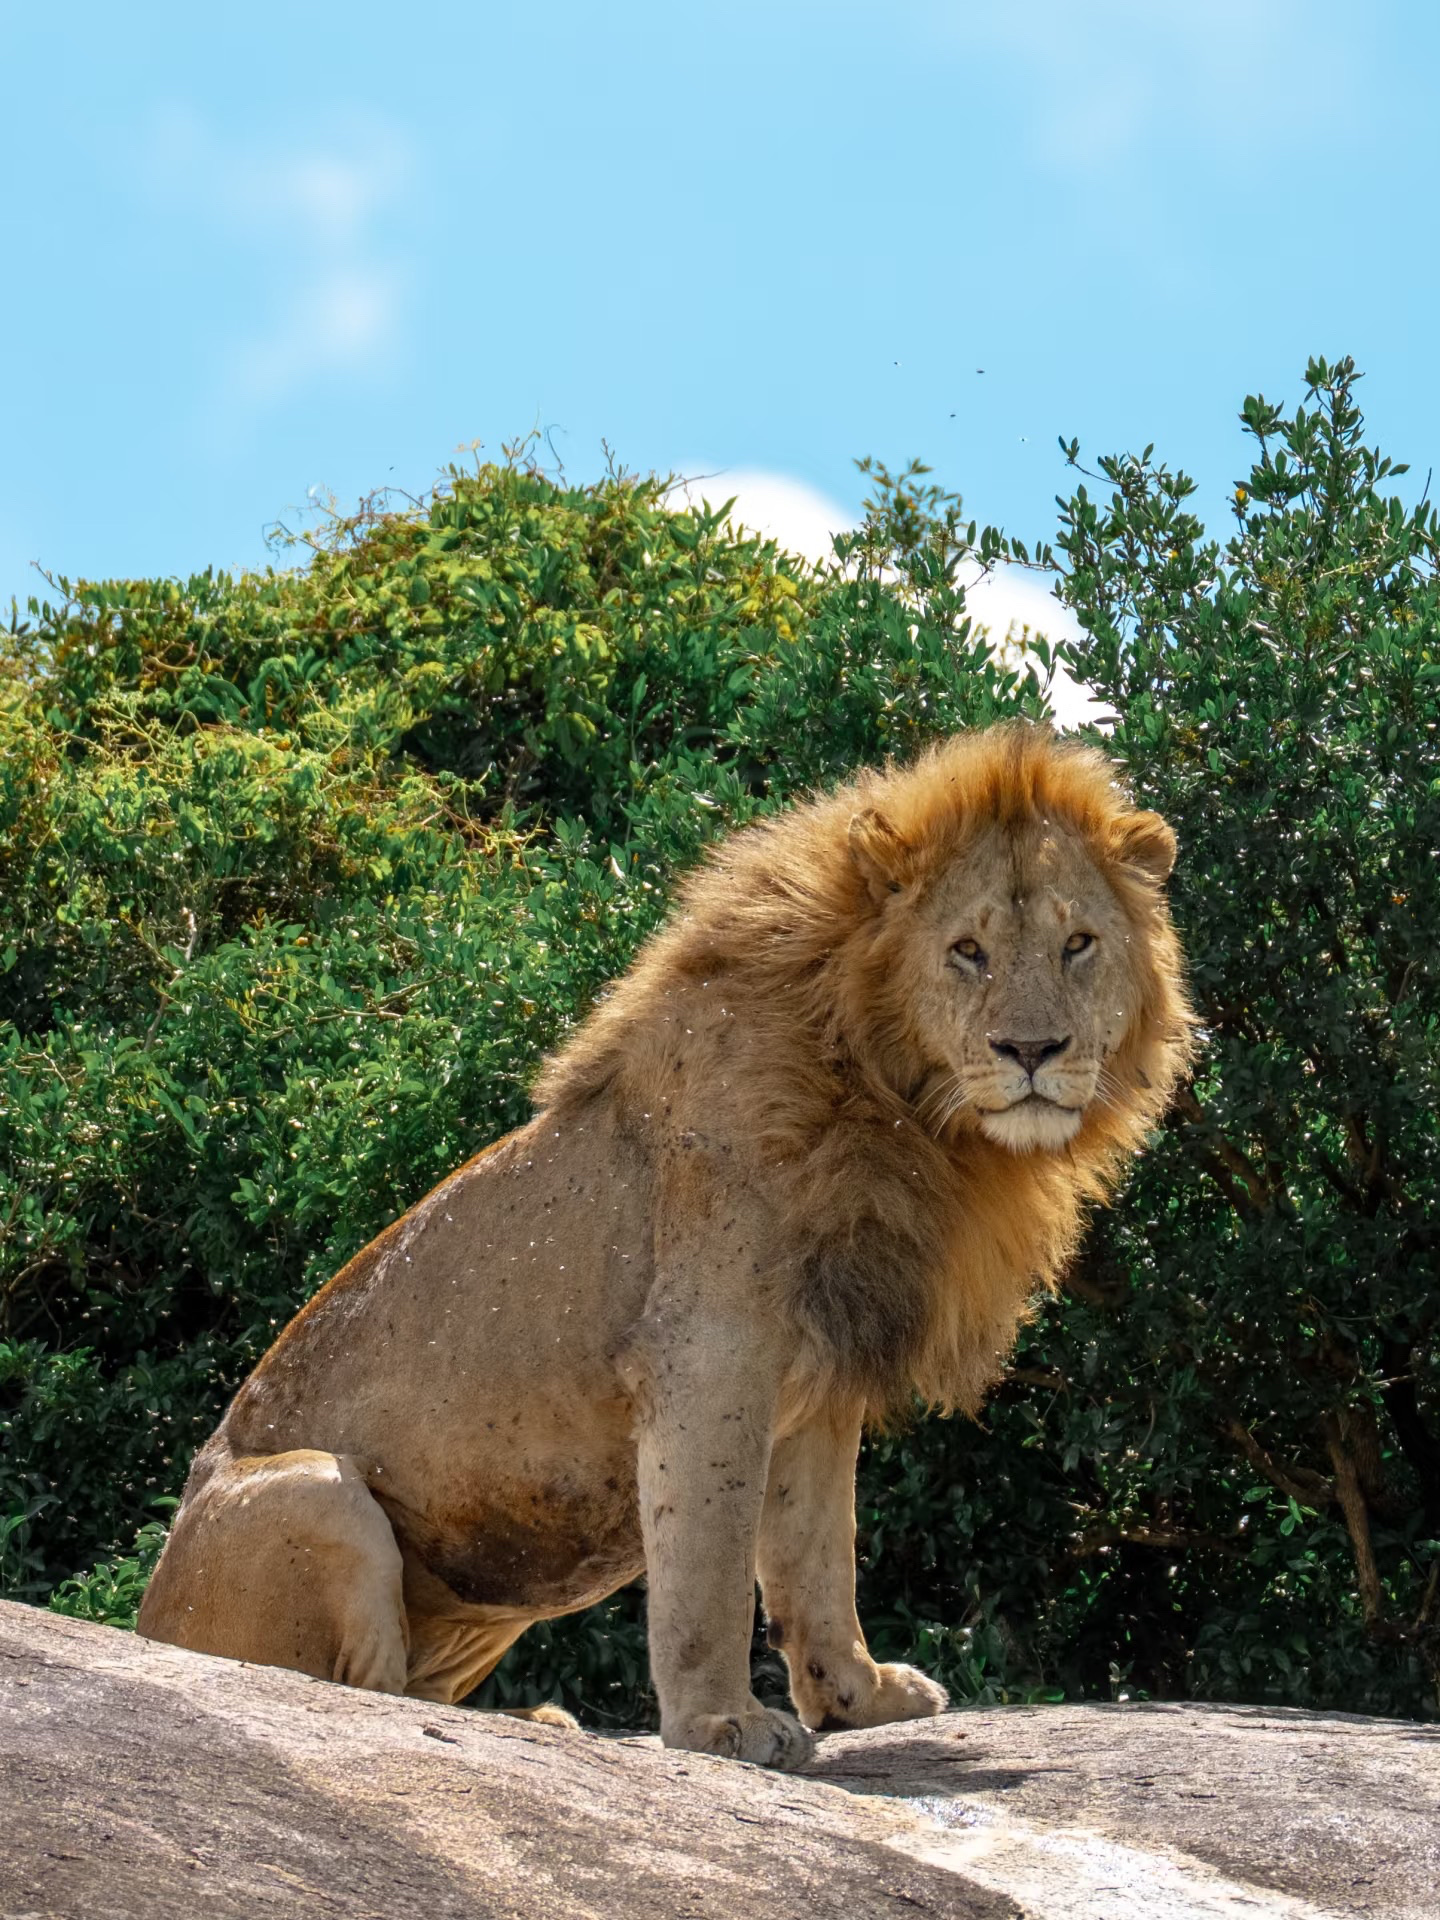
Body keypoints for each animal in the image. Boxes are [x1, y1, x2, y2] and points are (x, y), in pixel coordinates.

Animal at [138, 723, 1192, 1769]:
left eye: (1079, 945)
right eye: (968, 950)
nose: (1034, 1051)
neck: (912, 1115)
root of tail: (146, 1623)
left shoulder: (820, 1385)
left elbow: (818, 1558)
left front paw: (859, 1699)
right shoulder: (709, 1357)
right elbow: (711, 1568)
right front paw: (723, 1725)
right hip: (322, 1497)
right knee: (358, 1694)